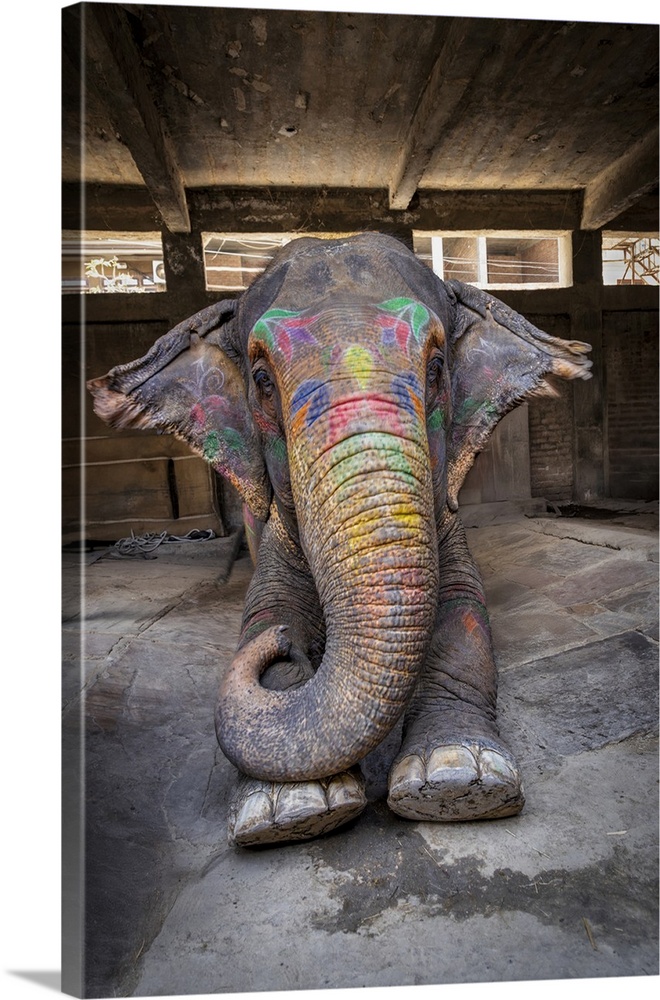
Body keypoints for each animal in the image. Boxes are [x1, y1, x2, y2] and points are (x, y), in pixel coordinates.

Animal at [88, 232, 592, 847]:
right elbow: (268, 611)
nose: (284, 645)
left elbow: (463, 611)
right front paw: (291, 809)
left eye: (437, 367)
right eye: (262, 382)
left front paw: (454, 779)